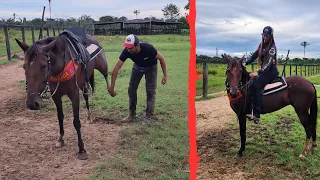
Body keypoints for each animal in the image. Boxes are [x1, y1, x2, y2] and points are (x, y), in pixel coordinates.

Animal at [15, 28, 112, 160]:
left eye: (43, 66)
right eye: (24, 66)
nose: (32, 104)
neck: (60, 66)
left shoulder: (74, 95)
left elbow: (76, 121)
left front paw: (81, 149)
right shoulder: (56, 96)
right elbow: (60, 117)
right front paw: (61, 139)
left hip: (102, 66)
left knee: (106, 76)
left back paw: (111, 91)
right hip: (83, 82)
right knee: (86, 96)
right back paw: (88, 117)